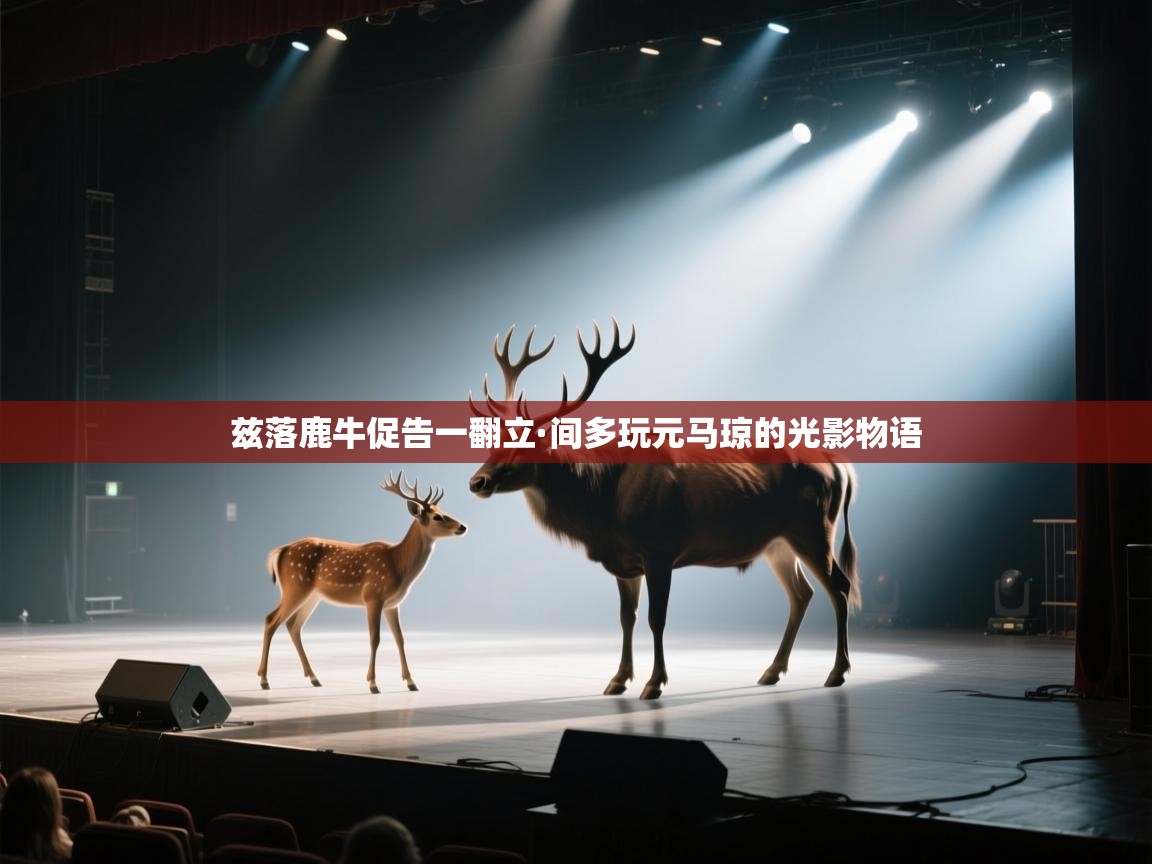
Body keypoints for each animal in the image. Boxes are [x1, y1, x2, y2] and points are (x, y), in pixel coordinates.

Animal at [257, 473, 466, 694]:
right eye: (437, 517)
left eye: (444, 511)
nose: (463, 526)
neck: (398, 564)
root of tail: (281, 550)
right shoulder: (373, 596)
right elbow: (375, 638)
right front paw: (373, 683)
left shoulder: (393, 604)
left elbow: (400, 638)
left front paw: (411, 682)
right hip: (294, 586)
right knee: (271, 620)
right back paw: (264, 679)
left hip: (312, 596)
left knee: (293, 625)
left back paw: (314, 678)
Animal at [467, 319, 860, 699]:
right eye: (495, 440)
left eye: (525, 444)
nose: (477, 481)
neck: (604, 512)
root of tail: (843, 468)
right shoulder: (626, 561)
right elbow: (627, 617)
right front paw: (618, 679)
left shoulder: (659, 548)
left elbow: (657, 618)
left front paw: (654, 683)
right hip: (778, 544)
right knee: (802, 594)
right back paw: (771, 671)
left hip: (815, 529)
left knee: (840, 587)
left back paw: (837, 672)